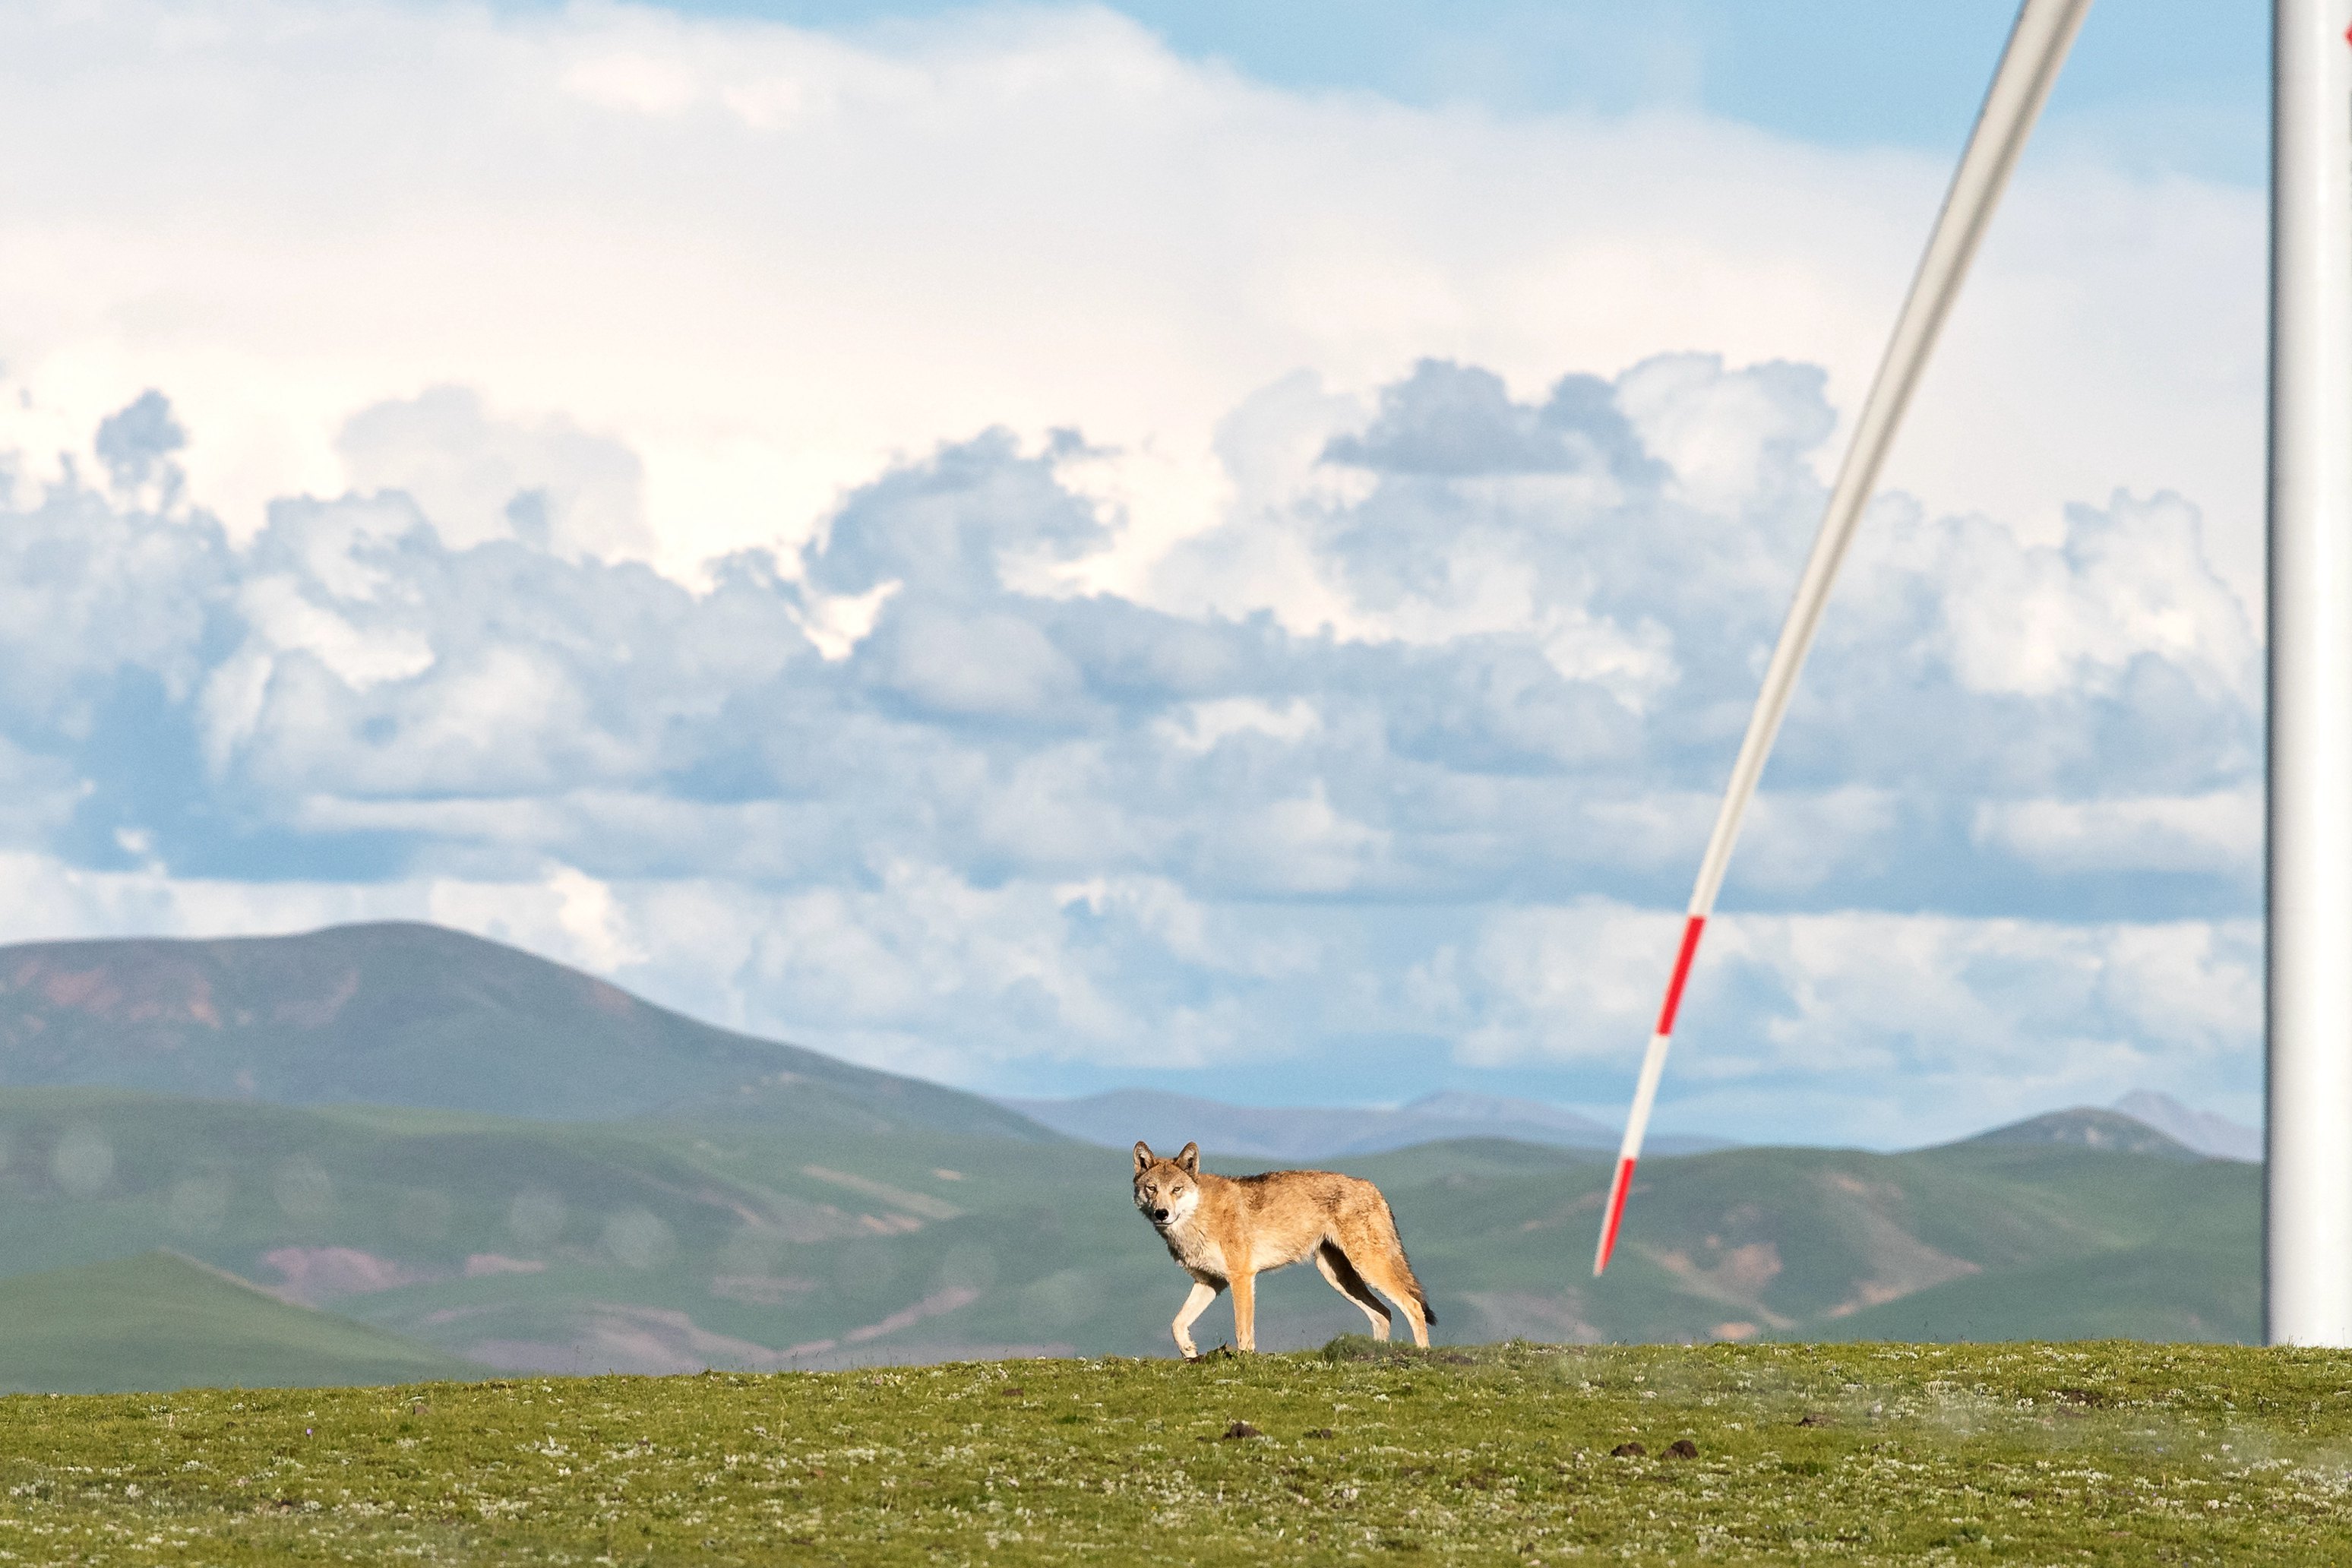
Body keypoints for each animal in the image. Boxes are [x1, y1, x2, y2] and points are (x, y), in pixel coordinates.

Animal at [1124, 1142, 1430, 1363]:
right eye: (1152, 1189)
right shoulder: (1210, 1282)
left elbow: (1243, 1330)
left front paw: (1244, 1360)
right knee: (1384, 1314)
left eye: (1176, 1189)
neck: (1198, 1218)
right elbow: (1177, 1324)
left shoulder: (1241, 1278)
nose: (1162, 1213)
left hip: (1367, 1269)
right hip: (1339, 1278)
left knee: (1413, 1306)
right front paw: (1189, 1352)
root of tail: (1373, 1187)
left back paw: (1424, 1355)